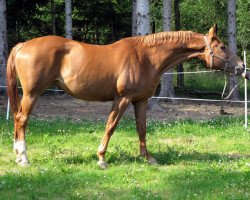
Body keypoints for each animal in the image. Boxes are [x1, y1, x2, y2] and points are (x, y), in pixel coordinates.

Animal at [5, 25, 246, 169]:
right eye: (222, 46)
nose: (242, 67)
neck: (146, 57)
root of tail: (23, 45)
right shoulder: (122, 99)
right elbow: (110, 127)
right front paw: (101, 159)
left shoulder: (141, 100)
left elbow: (142, 128)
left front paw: (148, 158)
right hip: (32, 94)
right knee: (21, 120)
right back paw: (23, 158)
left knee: (18, 119)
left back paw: (18, 154)